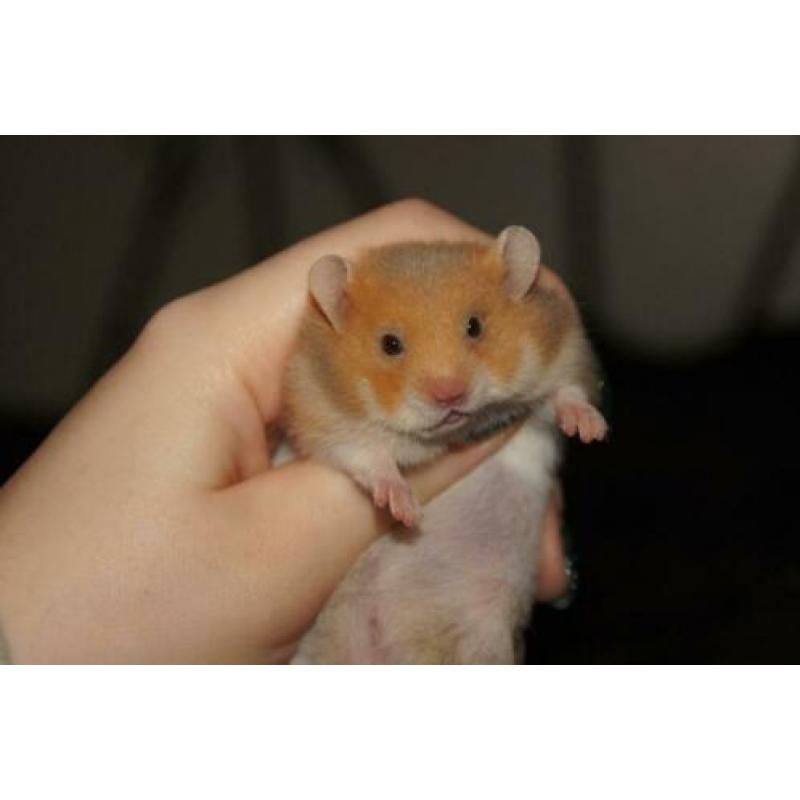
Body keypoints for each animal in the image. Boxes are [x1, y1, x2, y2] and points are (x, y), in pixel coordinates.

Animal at [284, 226, 607, 663]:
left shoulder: (567, 354)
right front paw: (403, 509)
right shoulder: (322, 418)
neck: (450, 433)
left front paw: (590, 430)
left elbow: (567, 394)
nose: (450, 395)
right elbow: (369, 457)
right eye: (390, 344)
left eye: (474, 326)